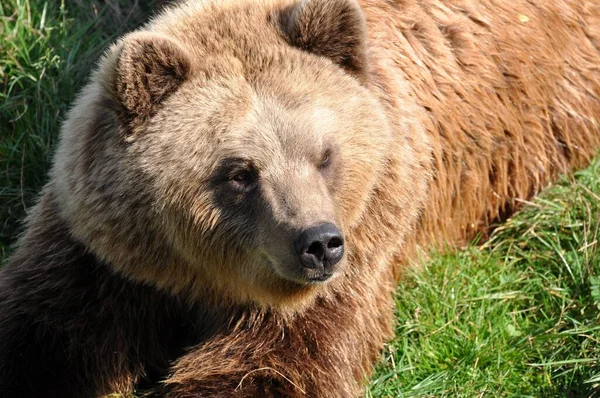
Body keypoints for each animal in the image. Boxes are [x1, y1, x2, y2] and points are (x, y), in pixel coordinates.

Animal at [0, 0, 596, 396]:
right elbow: (45, 338)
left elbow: (270, 366)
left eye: (325, 153)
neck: (197, 281)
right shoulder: (101, 261)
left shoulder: (352, 263)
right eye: (240, 172)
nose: (319, 243)